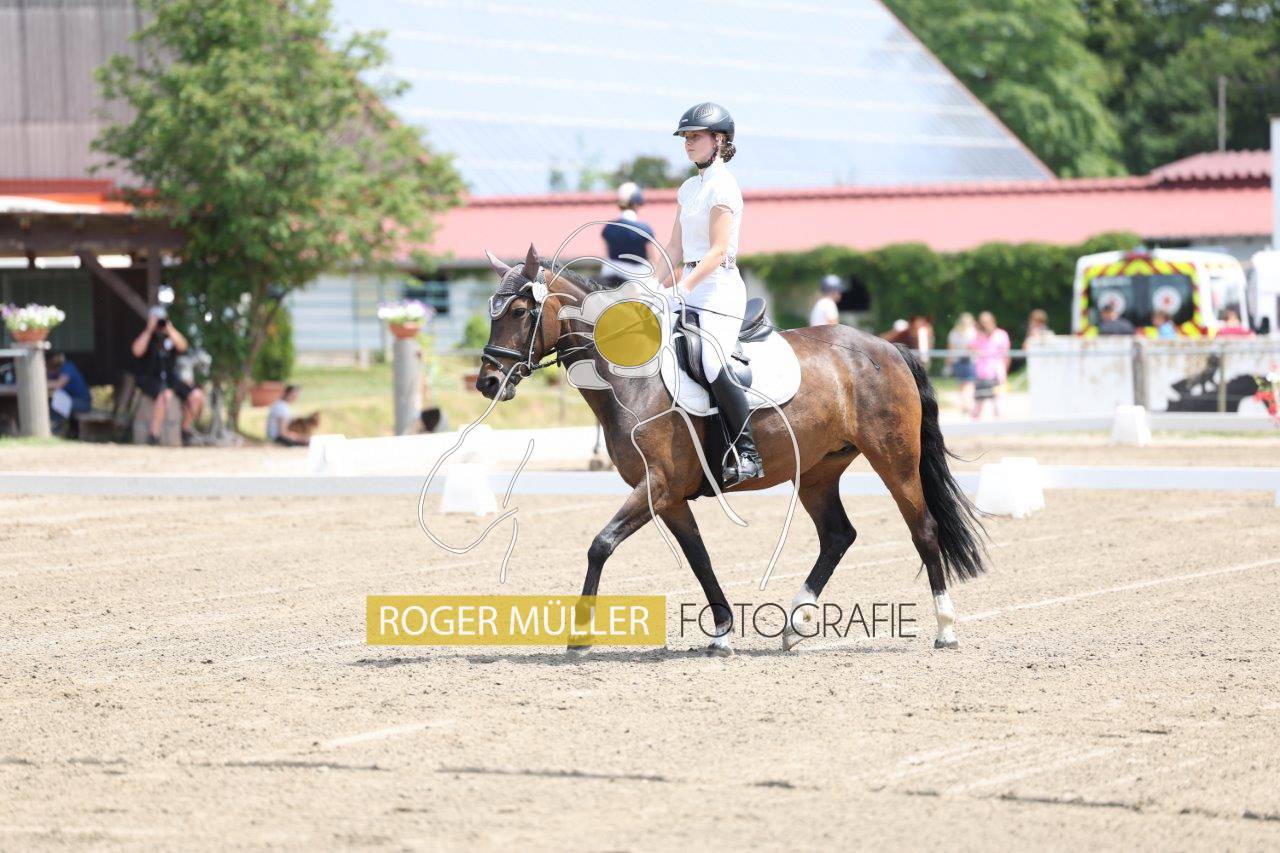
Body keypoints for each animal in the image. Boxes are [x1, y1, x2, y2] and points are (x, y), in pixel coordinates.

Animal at [476, 245, 987, 655]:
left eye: (519, 312)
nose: (488, 382)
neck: (632, 379)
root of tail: (888, 347)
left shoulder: (657, 485)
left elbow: (600, 545)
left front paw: (580, 636)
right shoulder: (670, 496)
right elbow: (699, 558)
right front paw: (721, 633)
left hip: (894, 459)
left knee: (923, 529)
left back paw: (945, 629)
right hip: (818, 471)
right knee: (838, 536)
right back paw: (795, 624)